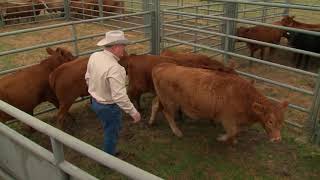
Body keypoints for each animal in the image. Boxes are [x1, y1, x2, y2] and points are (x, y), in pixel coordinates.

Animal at [149, 62, 288, 143]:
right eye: (270, 121)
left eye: (282, 121)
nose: (277, 139)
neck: (244, 96)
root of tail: (162, 66)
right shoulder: (227, 119)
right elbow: (232, 132)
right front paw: (222, 138)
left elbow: (236, 131)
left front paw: (234, 140)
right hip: (170, 101)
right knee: (167, 113)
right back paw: (177, 132)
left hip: (161, 97)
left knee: (155, 104)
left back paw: (151, 121)